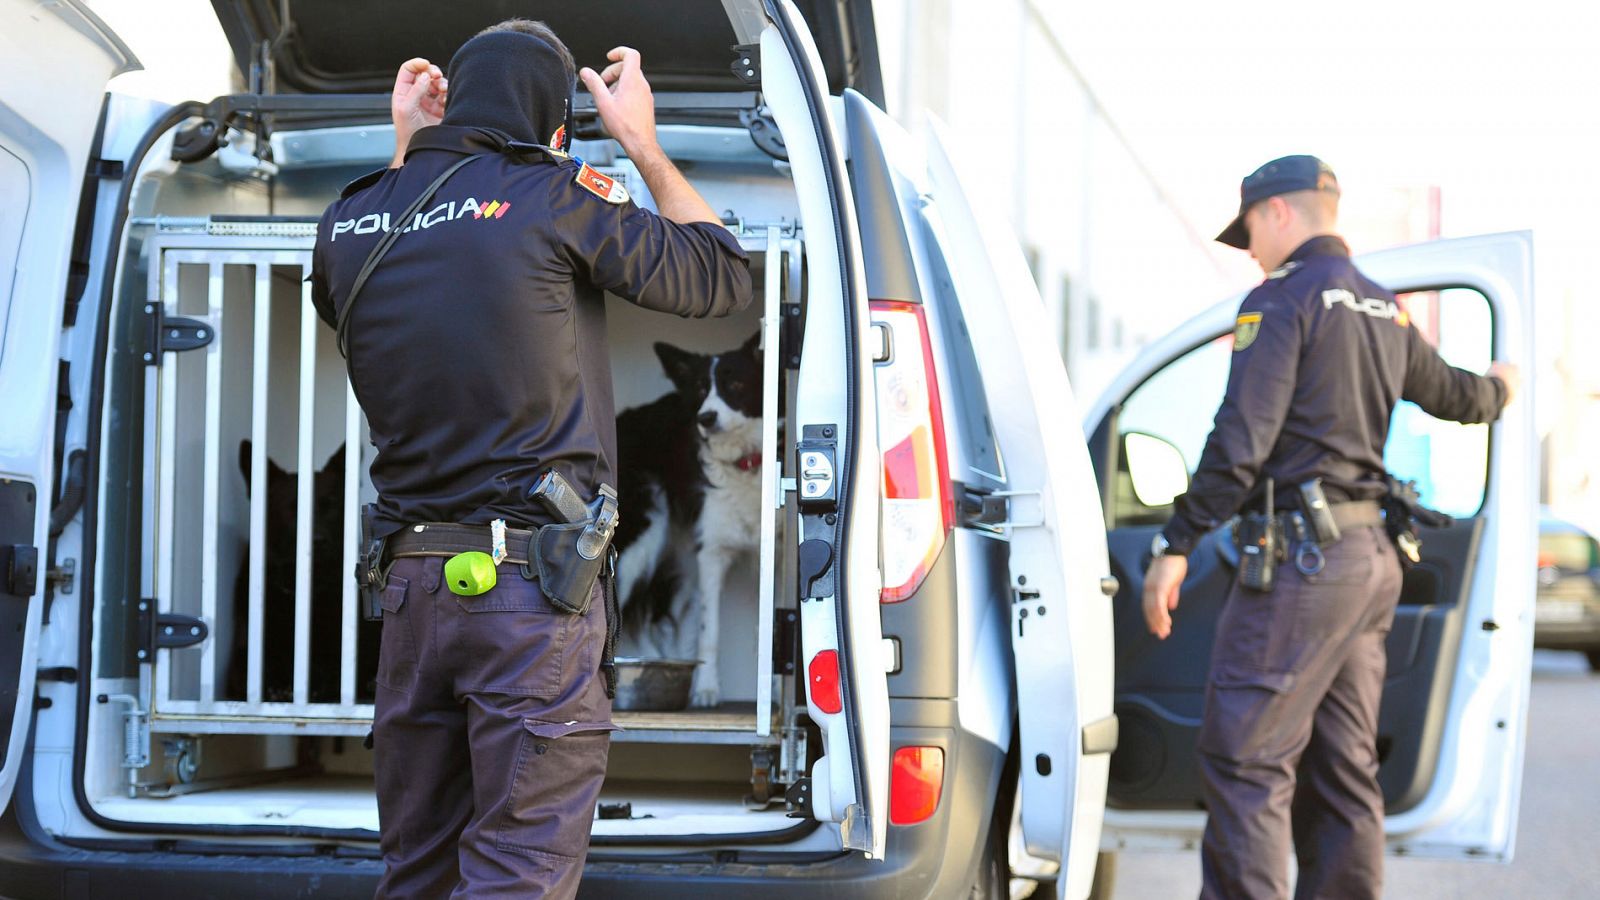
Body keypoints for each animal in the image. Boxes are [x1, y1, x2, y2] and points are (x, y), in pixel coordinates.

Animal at [225, 438, 380, 704]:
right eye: (292, 509)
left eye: (330, 506)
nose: (318, 541)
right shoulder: (240, 657)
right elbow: (256, 665)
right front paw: (278, 682)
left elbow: (327, 666)